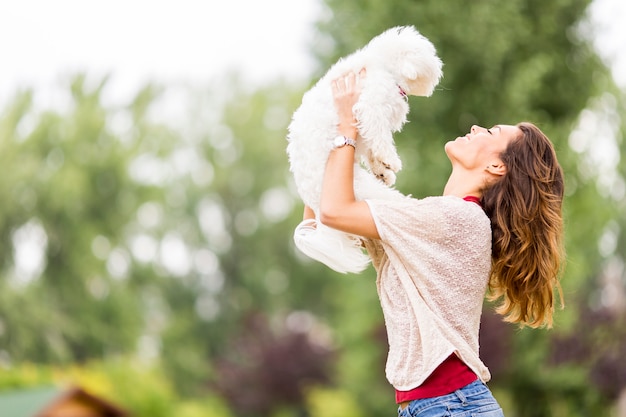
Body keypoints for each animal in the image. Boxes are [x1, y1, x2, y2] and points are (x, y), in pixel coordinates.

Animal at [286, 26, 442, 272]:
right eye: (429, 54)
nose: (439, 63)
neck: (382, 66)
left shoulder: (367, 123)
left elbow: (372, 148)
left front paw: (383, 170)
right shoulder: (371, 107)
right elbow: (380, 139)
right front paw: (390, 161)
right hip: (363, 189)